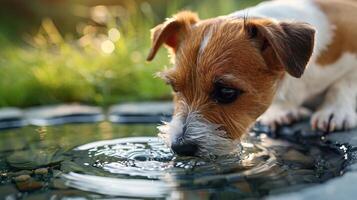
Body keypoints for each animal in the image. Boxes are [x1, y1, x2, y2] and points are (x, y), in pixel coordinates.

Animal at [145, 0, 356, 157]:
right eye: (174, 87)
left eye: (227, 92)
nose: (180, 148)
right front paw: (282, 111)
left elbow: (345, 82)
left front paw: (335, 111)